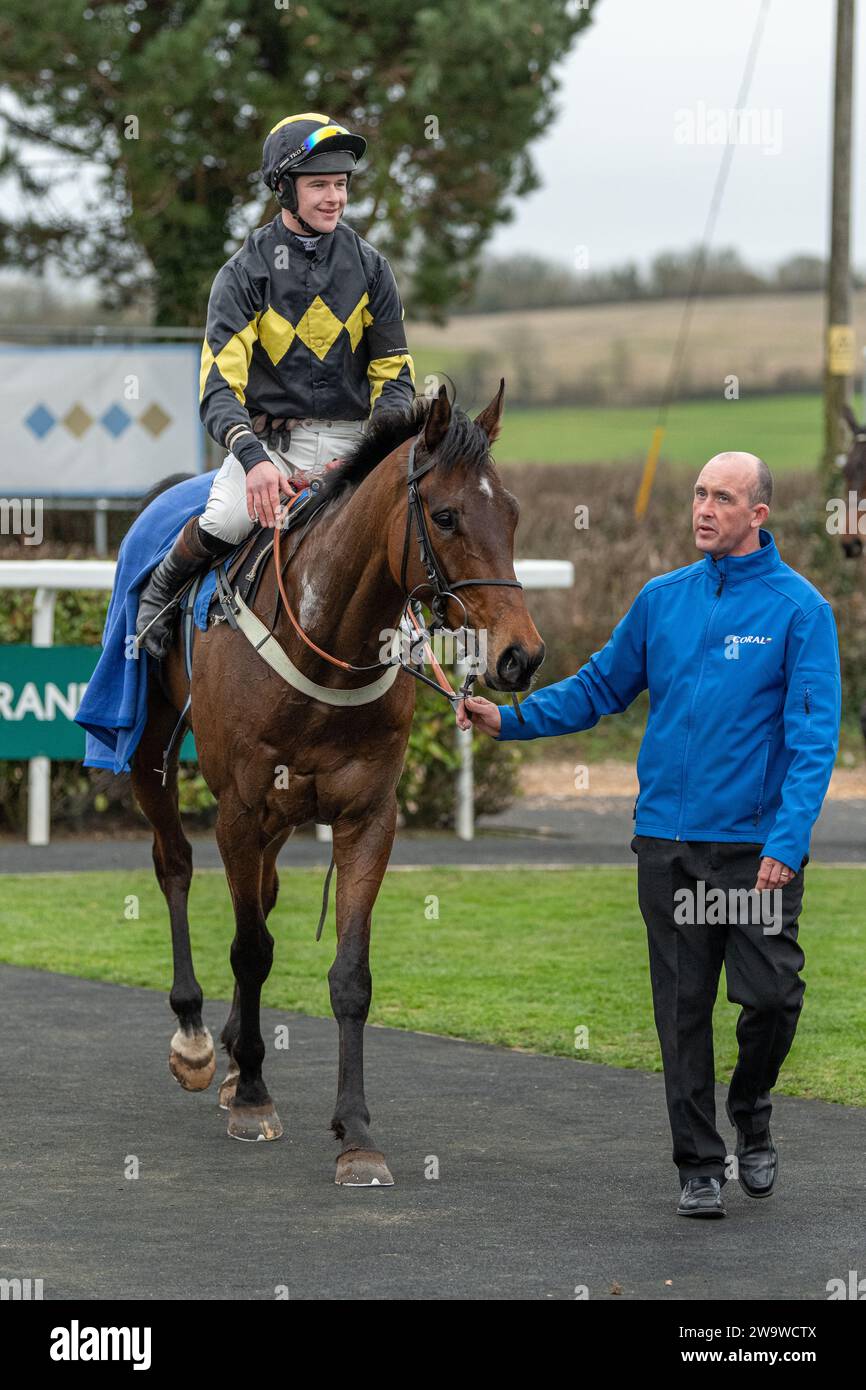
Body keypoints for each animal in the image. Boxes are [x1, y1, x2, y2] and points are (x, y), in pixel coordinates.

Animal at [129, 380, 544, 1184]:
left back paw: (233, 1054)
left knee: (260, 897)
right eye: (445, 515)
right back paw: (196, 1039)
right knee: (175, 866)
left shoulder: (365, 814)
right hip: (150, 756)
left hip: (285, 813)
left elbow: (348, 975)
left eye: (511, 512)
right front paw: (254, 1099)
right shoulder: (240, 808)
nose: (520, 656)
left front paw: (355, 1133)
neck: (324, 641)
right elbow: (250, 949)